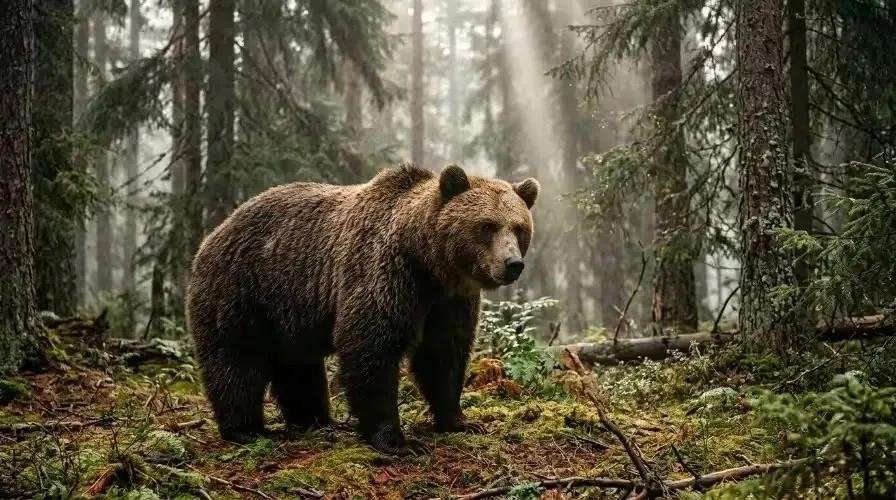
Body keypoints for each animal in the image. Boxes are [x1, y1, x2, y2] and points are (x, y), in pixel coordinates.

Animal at [186, 163, 539, 453]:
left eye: (519, 228)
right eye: (487, 225)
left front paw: (460, 421)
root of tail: (214, 233)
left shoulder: (448, 301)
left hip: (288, 311)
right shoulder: (385, 273)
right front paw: (396, 440)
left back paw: (314, 420)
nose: (513, 264)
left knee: (298, 365)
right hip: (244, 289)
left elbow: (444, 355)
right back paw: (246, 429)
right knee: (235, 358)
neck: (429, 263)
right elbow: (371, 346)